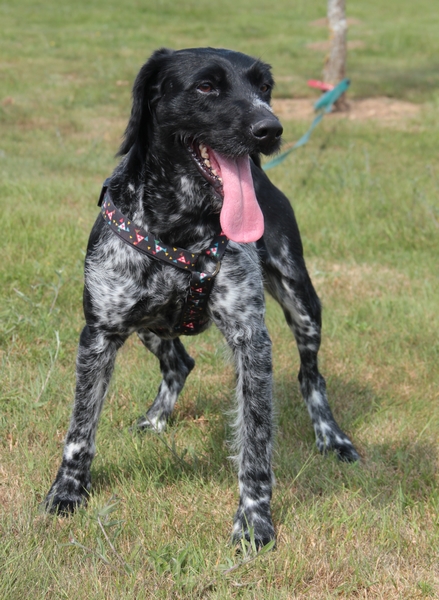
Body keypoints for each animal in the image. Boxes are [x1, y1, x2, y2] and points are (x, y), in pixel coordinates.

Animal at [43, 48, 360, 548]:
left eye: (264, 87)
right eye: (207, 86)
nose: (270, 129)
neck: (180, 225)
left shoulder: (252, 340)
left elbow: (255, 443)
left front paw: (254, 521)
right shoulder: (100, 332)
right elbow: (80, 429)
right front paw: (67, 492)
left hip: (303, 304)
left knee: (312, 378)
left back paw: (332, 438)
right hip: (149, 326)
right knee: (179, 362)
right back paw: (155, 419)